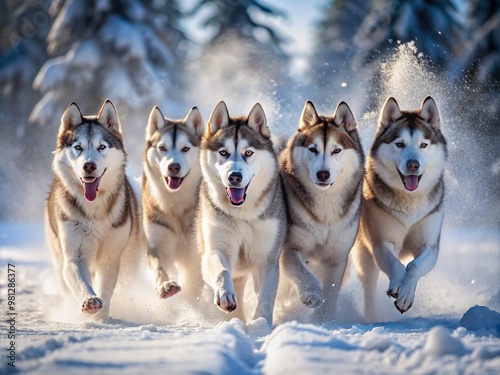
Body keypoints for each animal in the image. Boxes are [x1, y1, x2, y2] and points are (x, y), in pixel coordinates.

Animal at [45, 98, 141, 318]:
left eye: (102, 146)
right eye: (78, 147)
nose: (89, 166)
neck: (94, 209)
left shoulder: (111, 258)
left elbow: (105, 289)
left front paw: (101, 317)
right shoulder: (75, 256)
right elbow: (82, 282)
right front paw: (90, 301)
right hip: (58, 256)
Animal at [142, 105, 204, 300]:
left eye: (185, 148)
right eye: (162, 147)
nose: (173, 167)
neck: (175, 204)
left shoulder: (195, 251)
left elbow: (194, 280)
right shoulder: (158, 241)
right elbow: (158, 267)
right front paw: (166, 285)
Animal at [197, 101, 288, 324]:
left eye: (248, 153)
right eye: (223, 152)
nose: (235, 176)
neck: (243, 214)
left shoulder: (267, 258)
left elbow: (266, 295)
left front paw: (260, 323)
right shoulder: (216, 249)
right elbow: (222, 271)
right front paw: (225, 295)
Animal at [280, 100, 366, 324]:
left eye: (336, 150)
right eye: (313, 149)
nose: (323, 174)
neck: (325, 210)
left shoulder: (338, 258)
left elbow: (331, 293)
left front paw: (323, 322)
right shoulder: (290, 248)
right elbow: (300, 270)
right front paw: (312, 294)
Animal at [354, 97, 448, 320]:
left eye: (423, 145)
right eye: (399, 144)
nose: (413, 165)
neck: (409, 204)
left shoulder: (430, 246)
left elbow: (413, 266)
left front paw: (405, 294)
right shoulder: (381, 243)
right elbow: (396, 263)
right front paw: (398, 284)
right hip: (364, 256)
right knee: (369, 284)